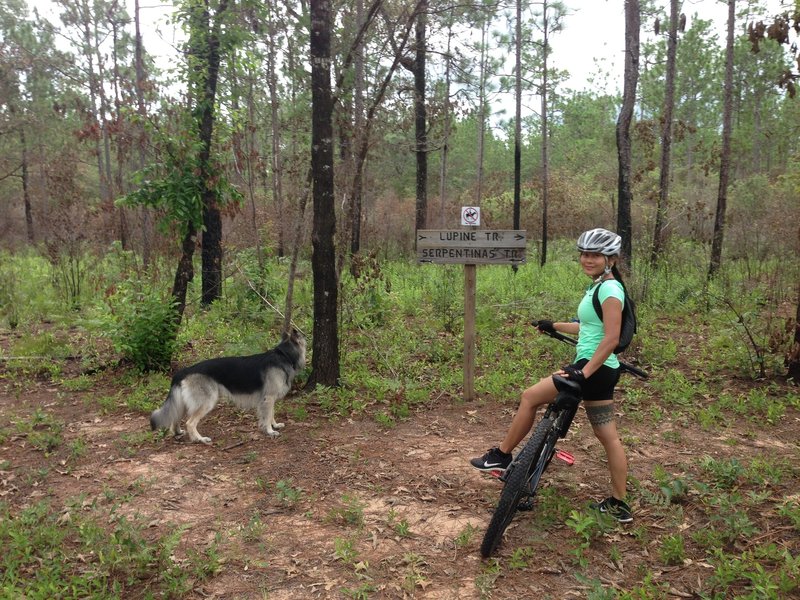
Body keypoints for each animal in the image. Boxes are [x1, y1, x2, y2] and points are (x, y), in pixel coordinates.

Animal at [150, 326, 306, 442]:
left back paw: (177, 433)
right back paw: (199, 439)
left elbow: (271, 414)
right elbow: (267, 416)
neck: (283, 355)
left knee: (175, 418)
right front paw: (269, 431)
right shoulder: (268, 398)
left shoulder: (268, 399)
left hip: (184, 403)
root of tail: (185, 370)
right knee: (190, 423)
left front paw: (275, 425)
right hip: (206, 402)